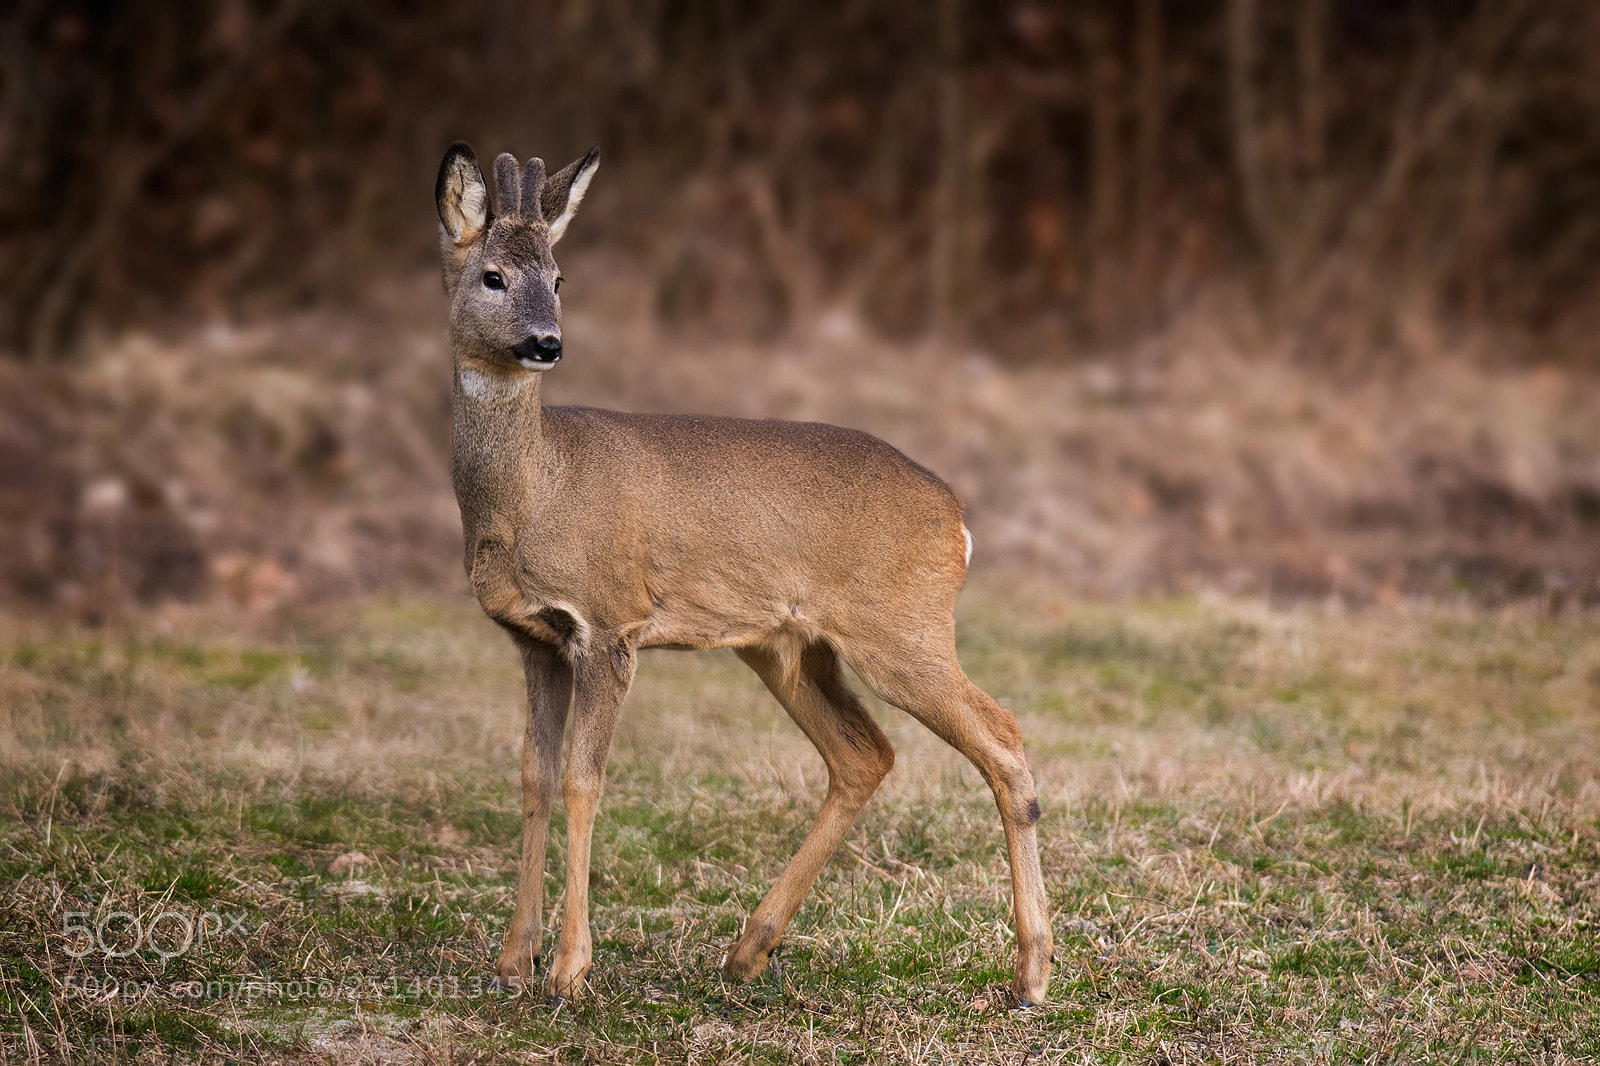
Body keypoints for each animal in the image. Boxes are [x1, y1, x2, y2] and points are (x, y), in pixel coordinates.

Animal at [435, 142, 1053, 1005]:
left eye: (559, 278)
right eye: (493, 276)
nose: (546, 342)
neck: (536, 488)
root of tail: (958, 520)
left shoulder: (611, 623)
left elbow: (586, 781)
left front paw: (567, 970)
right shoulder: (534, 638)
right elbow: (534, 778)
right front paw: (508, 962)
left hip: (902, 630)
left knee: (1002, 737)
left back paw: (1031, 973)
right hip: (786, 645)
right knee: (865, 754)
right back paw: (748, 949)